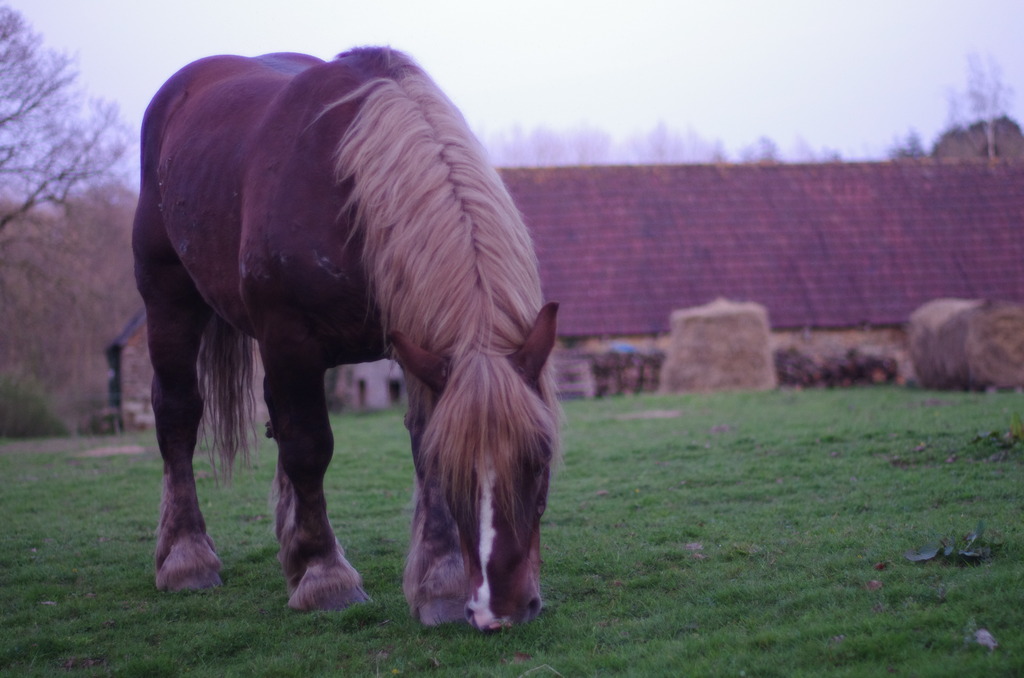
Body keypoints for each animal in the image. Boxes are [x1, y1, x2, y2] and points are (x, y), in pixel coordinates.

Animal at [130, 46, 561, 630]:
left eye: (540, 458)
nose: (503, 610)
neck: (348, 192)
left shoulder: (417, 344)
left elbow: (417, 442)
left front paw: (440, 583)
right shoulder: (290, 339)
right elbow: (309, 448)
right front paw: (325, 577)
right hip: (169, 298)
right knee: (178, 414)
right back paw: (186, 558)